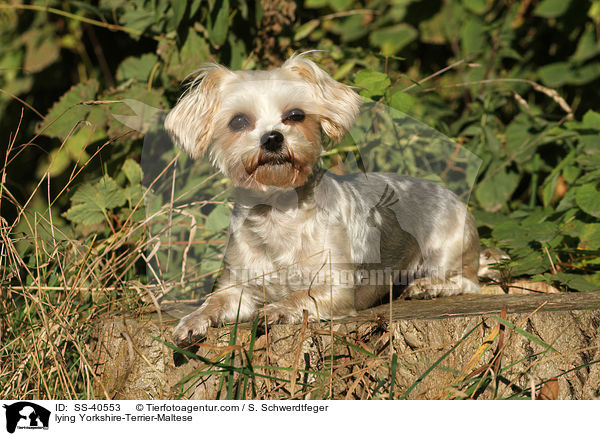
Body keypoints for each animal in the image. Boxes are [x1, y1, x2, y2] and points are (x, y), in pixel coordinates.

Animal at [165, 53, 482, 344]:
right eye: (238, 121)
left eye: (295, 115)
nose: (273, 138)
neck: (278, 214)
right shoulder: (236, 288)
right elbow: (213, 302)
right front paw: (191, 321)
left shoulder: (335, 288)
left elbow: (299, 296)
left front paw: (277, 309)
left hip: (445, 249)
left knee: (467, 281)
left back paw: (429, 286)